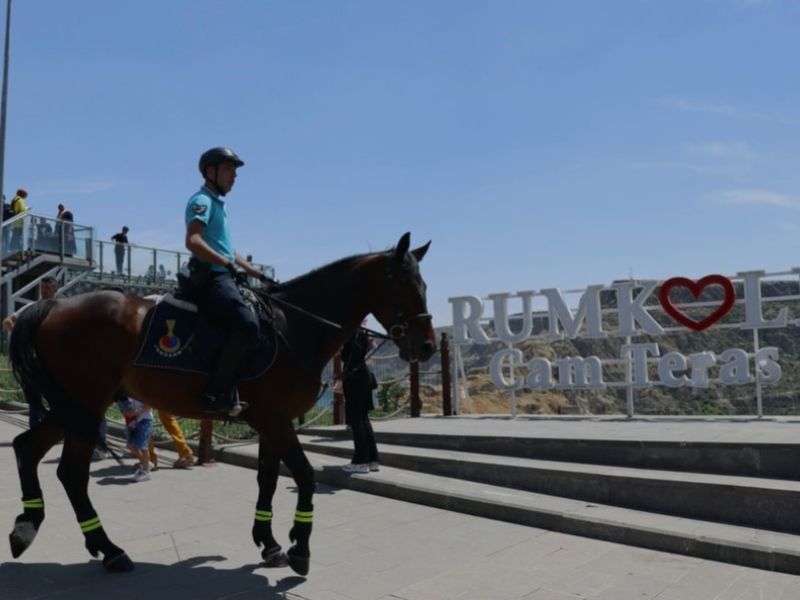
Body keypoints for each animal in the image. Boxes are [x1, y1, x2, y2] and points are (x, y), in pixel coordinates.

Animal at [6, 232, 434, 576]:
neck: (293, 326)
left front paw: (270, 542)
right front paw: (300, 547)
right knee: (71, 473)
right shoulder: (275, 419)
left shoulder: (270, 420)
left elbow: (268, 478)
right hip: (87, 403)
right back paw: (109, 550)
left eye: (424, 284)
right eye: (405, 285)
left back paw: (28, 527)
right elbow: (305, 474)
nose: (428, 345)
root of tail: (51, 306)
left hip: (73, 406)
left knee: (28, 449)